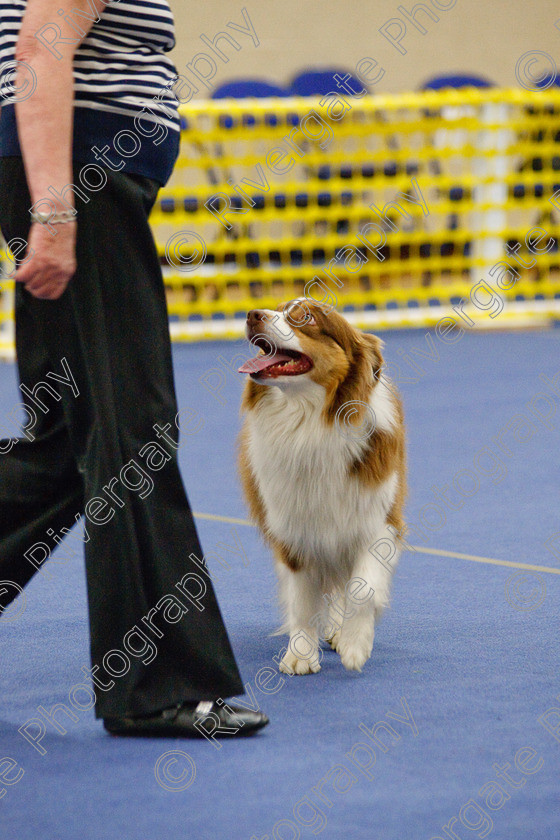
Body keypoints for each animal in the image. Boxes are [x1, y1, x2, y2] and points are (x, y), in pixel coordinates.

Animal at [237, 302, 406, 676]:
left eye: (305, 317)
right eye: (278, 308)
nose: (252, 314)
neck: (311, 421)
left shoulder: (380, 521)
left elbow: (362, 588)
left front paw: (355, 644)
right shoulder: (293, 529)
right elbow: (302, 600)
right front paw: (300, 653)